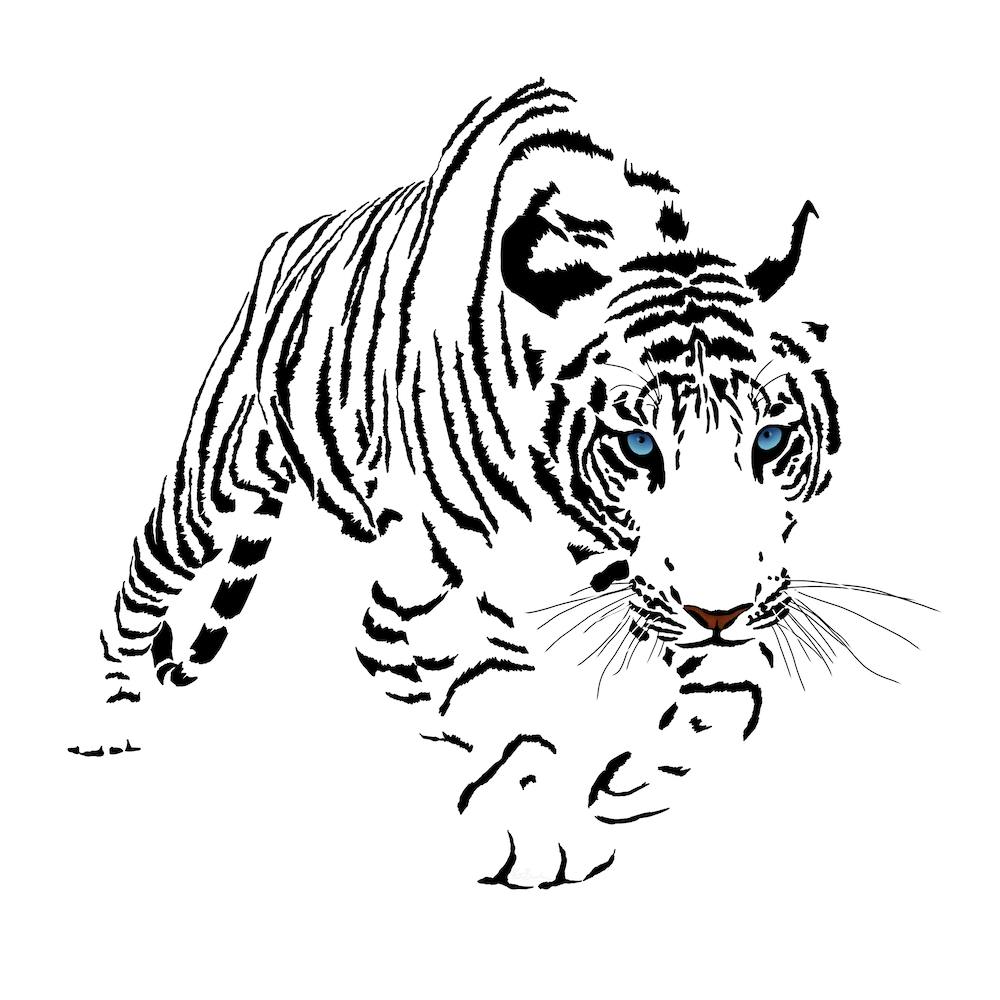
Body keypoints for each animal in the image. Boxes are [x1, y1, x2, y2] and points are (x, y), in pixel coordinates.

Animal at [75, 78, 848, 888]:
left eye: (770, 440)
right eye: (639, 445)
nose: (718, 612)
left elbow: (731, 690)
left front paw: (634, 781)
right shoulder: (449, 579)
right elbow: (509, 708)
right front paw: (544, 832)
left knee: (376, 642)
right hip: (211, 493)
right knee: (140, 595)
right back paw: (106, 721)